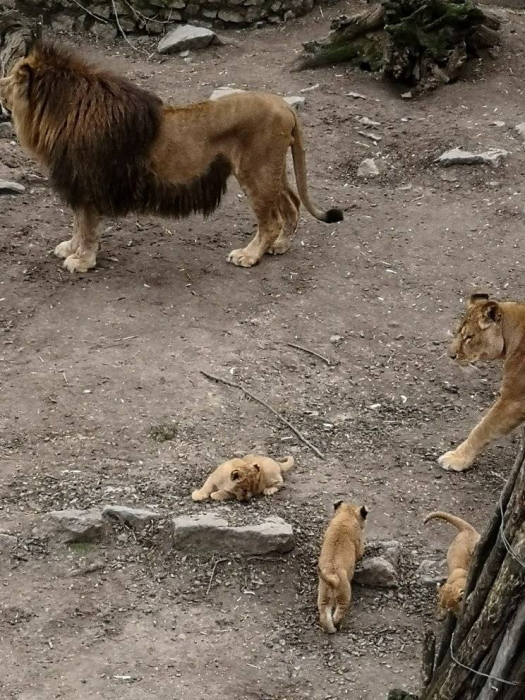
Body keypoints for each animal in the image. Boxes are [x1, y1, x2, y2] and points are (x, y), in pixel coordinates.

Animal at [0, 37, 342, 274]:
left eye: (13, 78)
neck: (61, 114)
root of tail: (284, 105)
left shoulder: (88, 184)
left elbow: (86, 226)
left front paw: (81, 260)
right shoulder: (81, 183)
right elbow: (77, 224)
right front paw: (69, 248)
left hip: (255, 170)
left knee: (271, 219)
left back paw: (249, 255)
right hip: (271, 169)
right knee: (292, 203)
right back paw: (281, 245)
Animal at [436, 292, 524, 474]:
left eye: (469, 337)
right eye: (457, 332)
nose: (450, 355)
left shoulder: (513, 400)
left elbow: (483, 429)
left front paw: (457, 458)